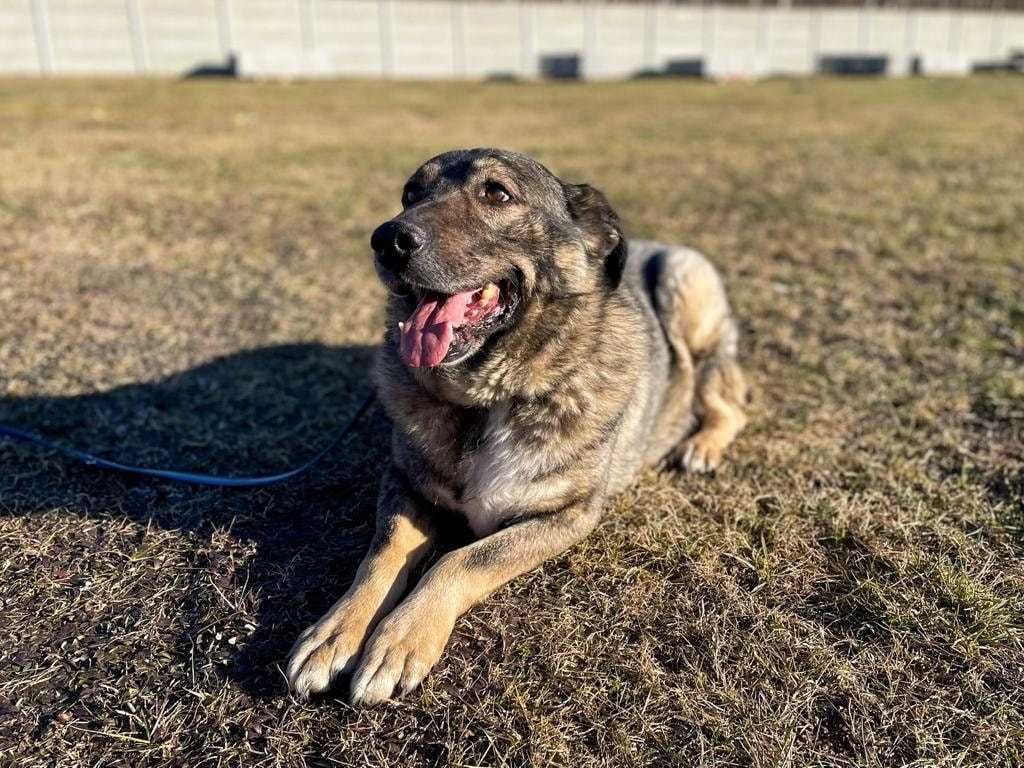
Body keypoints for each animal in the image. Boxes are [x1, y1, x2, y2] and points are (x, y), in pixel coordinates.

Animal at [284, 147, 749, 708]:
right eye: (410, 194)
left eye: (496, 193)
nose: (387, 240)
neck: (487, 401)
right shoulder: (404, 482)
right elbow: (382, 555)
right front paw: (334, 634)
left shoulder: (566, 515)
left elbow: (459, 561)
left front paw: (399, 640)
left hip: (687, 293)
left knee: (727, 397)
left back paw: (702, 446)